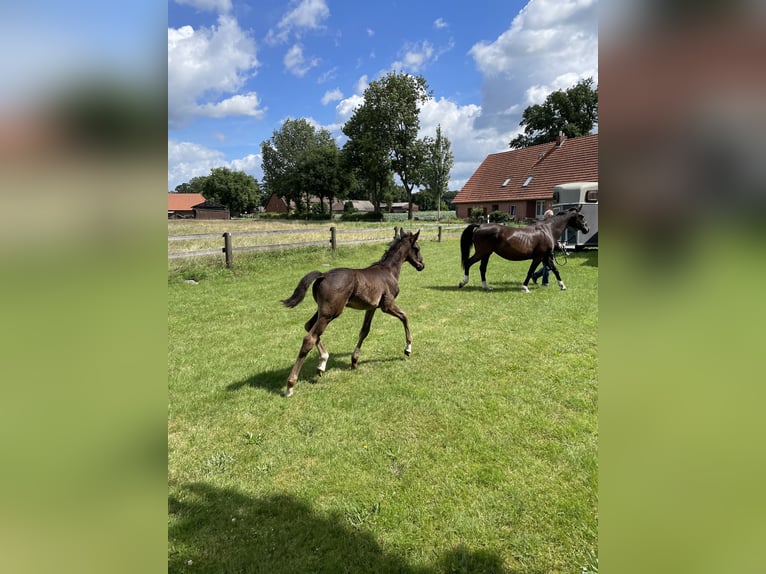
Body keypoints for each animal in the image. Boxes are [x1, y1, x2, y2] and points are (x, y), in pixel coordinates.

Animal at [282, 228, 426, 396]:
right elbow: (405, 316)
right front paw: (408, 348)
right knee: (309, 338)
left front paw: (354, 361)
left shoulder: (371, 308)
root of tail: (323, 275)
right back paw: (290, 385)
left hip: (322, 310)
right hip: (331, 312)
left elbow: (364, 331)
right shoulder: (387, 305)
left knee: (308, 326)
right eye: (417, 248)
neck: (389, 271)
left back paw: (322, 362)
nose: (422, 265)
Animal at [460, 208, 592, 294]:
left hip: (486, 254)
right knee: (468, 263)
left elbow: (555, 270)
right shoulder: (538, 257)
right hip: (482, 253)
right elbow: (530, 271)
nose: (587, 229)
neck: (548, 229)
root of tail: (480, 226)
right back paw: (463, 283)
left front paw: (563, 286)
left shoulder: (546, 257)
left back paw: (486, 287)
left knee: (482, 268)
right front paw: (525, 288)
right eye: (581, 216)